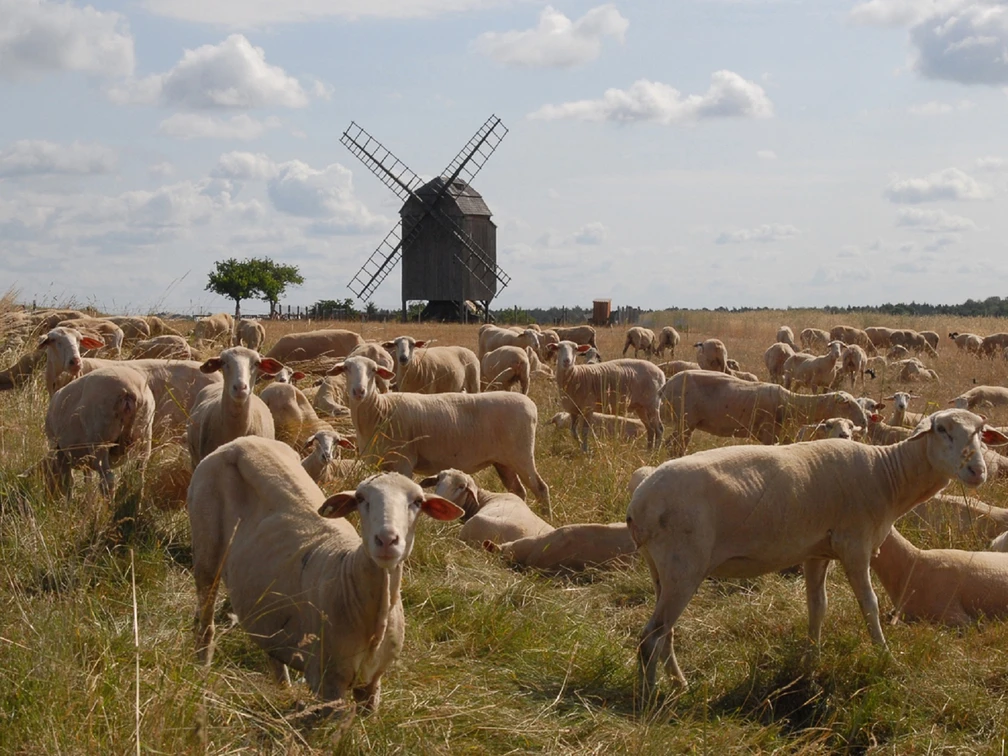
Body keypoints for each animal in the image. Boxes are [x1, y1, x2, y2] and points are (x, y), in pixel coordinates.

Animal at [43, 365, 155, 497]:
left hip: (100, 439)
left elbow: (68, 483)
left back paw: (108, 502)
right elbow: (87, 482)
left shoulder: (59, 449)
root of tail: (129, 391)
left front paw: (69, 501)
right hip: (145, 435)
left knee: (108, 480)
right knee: (139, 474)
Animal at [188, 438, 463, 710]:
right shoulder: (329, 682)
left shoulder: (373, 683)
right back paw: (201, 675)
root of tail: (239, 442)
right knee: (205, 625)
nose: (386, 540)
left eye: (417, 501)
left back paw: (284, 690)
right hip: (207, 556)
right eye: (361, 498)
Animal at [329, 356, 551, 513]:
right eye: (347, 368)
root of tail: (530, 404)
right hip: (503, 462)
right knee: (518, 490)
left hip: (521, 455)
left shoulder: (404, 462)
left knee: (540, 488)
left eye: (374, 370)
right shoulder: (377, 463)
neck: (380, 411)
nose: (359, 391)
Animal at [660, 369, 869, 455]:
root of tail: (665, 386)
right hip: (685, 420)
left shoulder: (785, 436)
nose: (864, 423)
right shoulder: (769, 434)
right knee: (674, 446)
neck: (794, 404)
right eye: (847, 404)